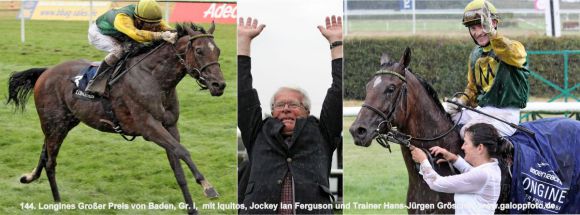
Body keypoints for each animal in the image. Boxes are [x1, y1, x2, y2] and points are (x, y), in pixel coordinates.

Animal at [6, 22, 224, 215]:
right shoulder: (149, 127)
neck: (155, 79)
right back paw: (58, 203)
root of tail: (46, 72)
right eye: (199, 50)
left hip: (63, 123)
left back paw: (30, 178)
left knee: (45, 153)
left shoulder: (170, 126)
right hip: (54, 124)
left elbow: (177, 167)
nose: (219, 85)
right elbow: (183, 151)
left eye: (218, 51)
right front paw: (208, 186)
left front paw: (192, 208)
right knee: (51, 162)